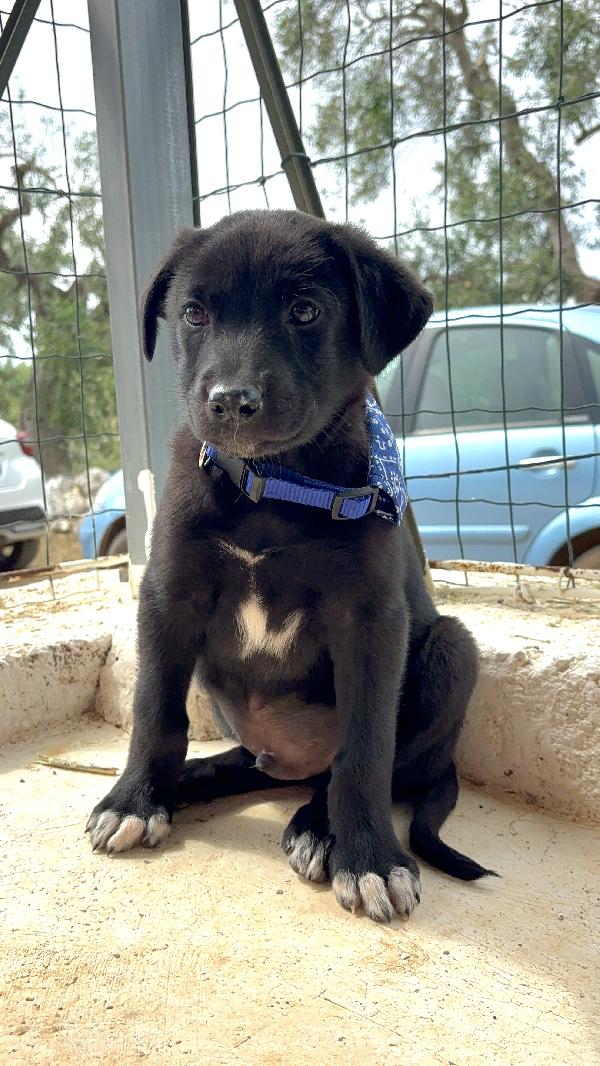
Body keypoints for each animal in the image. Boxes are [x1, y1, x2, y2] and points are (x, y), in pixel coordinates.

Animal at [86, 209, 492, 923]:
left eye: (305, 311)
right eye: (194, 314)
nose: (231, 400)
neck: (272, 484)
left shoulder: (371, 620)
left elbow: (365, 749)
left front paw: (369, 860)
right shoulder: (170, 594)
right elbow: (156, 708)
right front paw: (134, 800)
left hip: (451, 649)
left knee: (364, 769)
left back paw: (318, 826)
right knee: (250, 763)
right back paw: (190, 781)